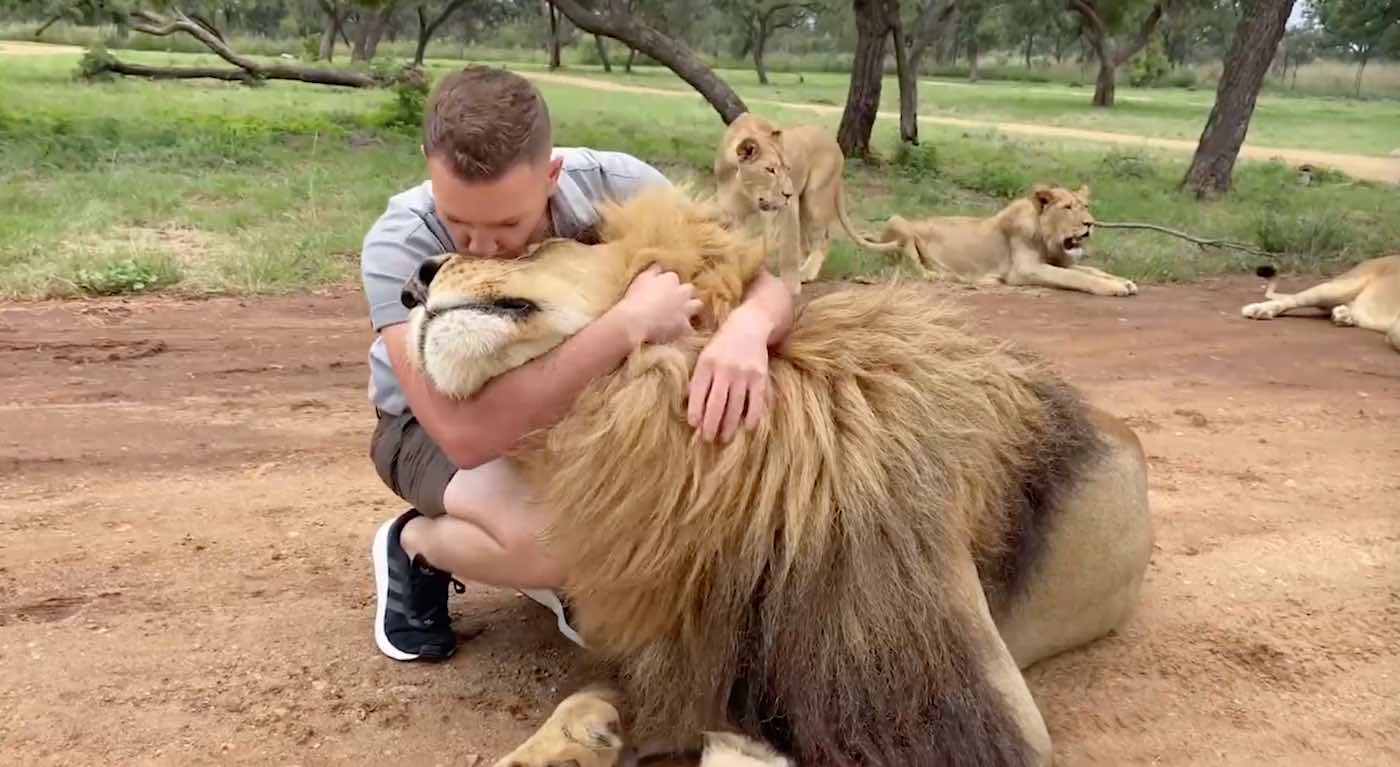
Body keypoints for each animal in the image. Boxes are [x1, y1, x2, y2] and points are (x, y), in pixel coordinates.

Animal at [716, 110, 901, 293]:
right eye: (770, 170)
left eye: (787, 169)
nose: (788, 193)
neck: (746, 189)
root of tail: (834, 143)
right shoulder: (732, 214)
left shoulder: (788, 209)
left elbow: (788, 252)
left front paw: (789, 288)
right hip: (804, 206)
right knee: (805, 242)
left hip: (815, 199)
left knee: (822, 237)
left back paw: (806, 273)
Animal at [879, 183, 1142, 296]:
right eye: (1067, 208)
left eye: (1085, 206)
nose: (1090, 223)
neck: (1047, 239)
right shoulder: (1024, 270)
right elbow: (1074, 276)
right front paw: (1114, 288)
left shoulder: (1059, 261)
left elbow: (1091, 270)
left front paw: (1124, 281)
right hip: (898, 222)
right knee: (915, 269)